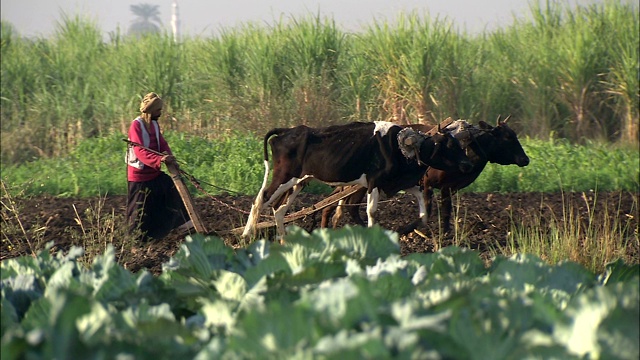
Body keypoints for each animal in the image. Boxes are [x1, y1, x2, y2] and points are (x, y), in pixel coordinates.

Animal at [242, 121, 472, 239]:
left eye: (459, 144)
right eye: (448, 146)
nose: (467, 164)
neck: (398, 148)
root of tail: (289, 130)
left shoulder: (399, 183)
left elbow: (423, 210)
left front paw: (406, 229)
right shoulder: (374, 182)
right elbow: (371, 212)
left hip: (299, 181)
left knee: (278, 209)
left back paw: (283, 241)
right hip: (284, 176)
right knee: (260, 200)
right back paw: (247, 236)